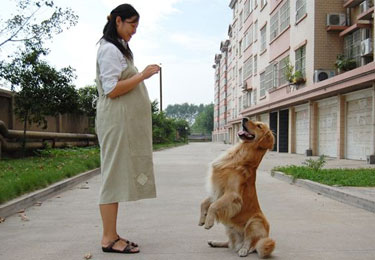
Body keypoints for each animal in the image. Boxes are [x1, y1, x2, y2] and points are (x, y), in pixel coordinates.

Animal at [200, 118, 276, 258]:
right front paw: (202, 219)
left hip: (254, 223)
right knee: (230, 243)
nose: (244, 118)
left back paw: (243, 250)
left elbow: (213, 205)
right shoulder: (218, 190)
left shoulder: (232, 194)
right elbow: (204, 202)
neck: (241, 154)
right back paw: (215, 242)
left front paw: (208, 222)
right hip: (229, 229)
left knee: (251, 244)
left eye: (259, 126)